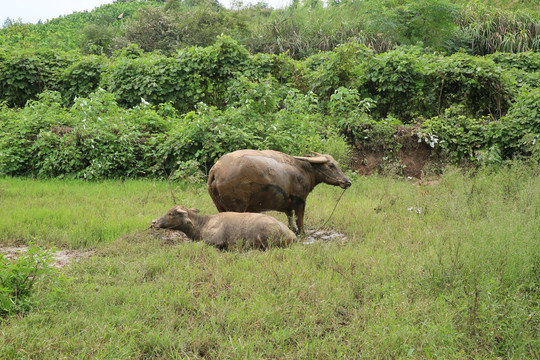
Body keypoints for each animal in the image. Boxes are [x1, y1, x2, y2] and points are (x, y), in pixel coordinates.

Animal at [206, 149, 350, 233]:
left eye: (337, 164)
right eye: (331, 165)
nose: (347, 181)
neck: (303, 170)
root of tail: (216, 170)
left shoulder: (288, 205)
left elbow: (290, 218)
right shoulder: (300, 201)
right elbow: (300, 220)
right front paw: (302, 233)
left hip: (219, 206)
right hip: (237, 207)